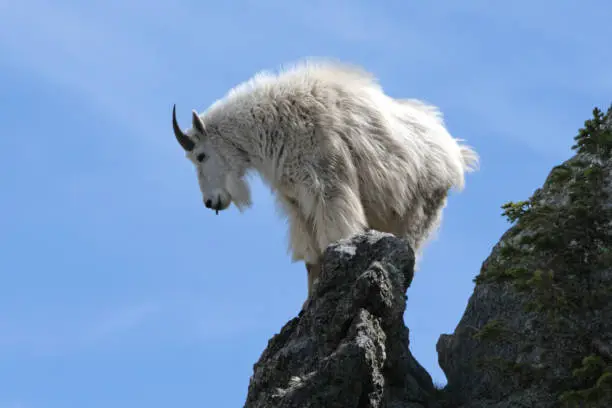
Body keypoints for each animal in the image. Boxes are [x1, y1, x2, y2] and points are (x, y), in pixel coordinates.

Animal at [171, 59, 478, 302]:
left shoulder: (328, 188)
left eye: (200, 156)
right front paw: (308, 301)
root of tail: (456, 154)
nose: (210, 201)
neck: (272, 125)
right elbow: (310, 257)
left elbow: (334, 236)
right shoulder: (297, 204)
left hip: (420, 211)